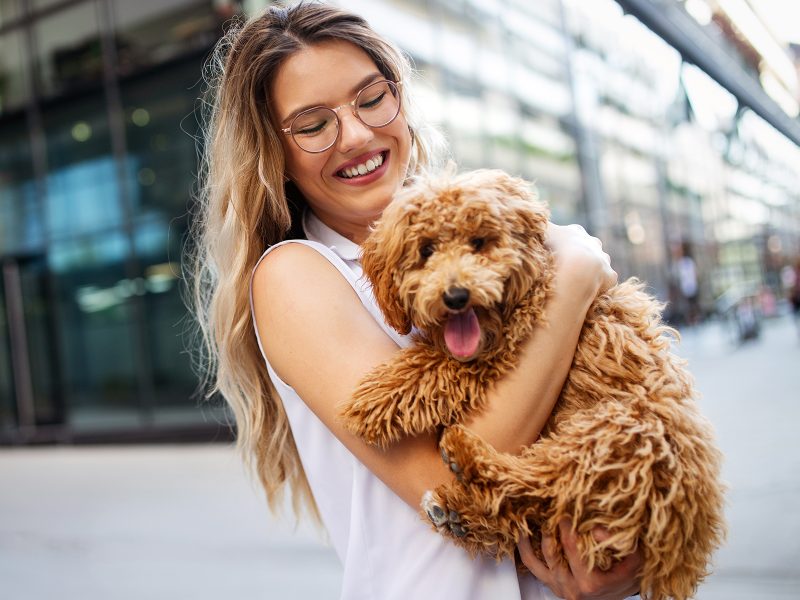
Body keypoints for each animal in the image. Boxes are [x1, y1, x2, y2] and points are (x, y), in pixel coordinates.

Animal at [340, 168, 728, 600]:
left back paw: (464, 460)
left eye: (479, 242)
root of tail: (681, 546)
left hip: (624, 429)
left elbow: (436, 365)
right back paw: (459, 514)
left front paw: (374, 400)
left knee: (542, 482)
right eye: (426, 250)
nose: (456, 296)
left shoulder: (504, 346)